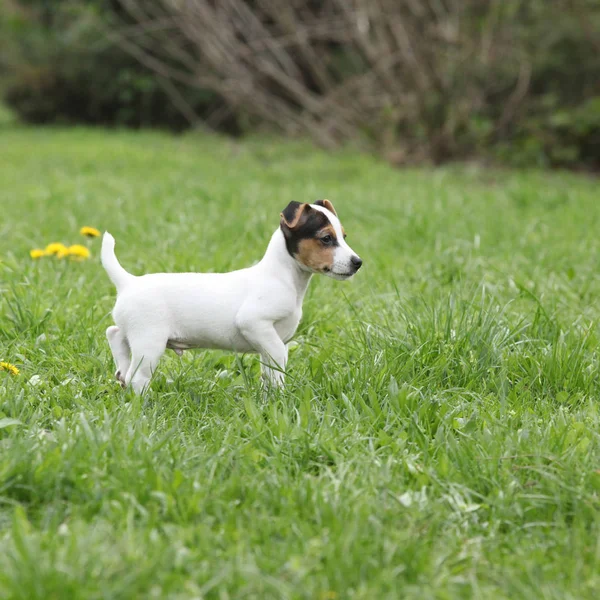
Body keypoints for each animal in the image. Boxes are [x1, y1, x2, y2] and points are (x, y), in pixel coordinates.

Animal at [102, 199, 360, 392]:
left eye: (344, 236)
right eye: (326, 238)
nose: (358, 262)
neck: (283, 277)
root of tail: (128, 282)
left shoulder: (269, 340)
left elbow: (270, 371)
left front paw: (271, 398)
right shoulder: (255, 323)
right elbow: (279, 357)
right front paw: (281, 396)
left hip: (135, 332)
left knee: (114, 333)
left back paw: (121, 370)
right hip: (149, 341)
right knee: (137, 377)